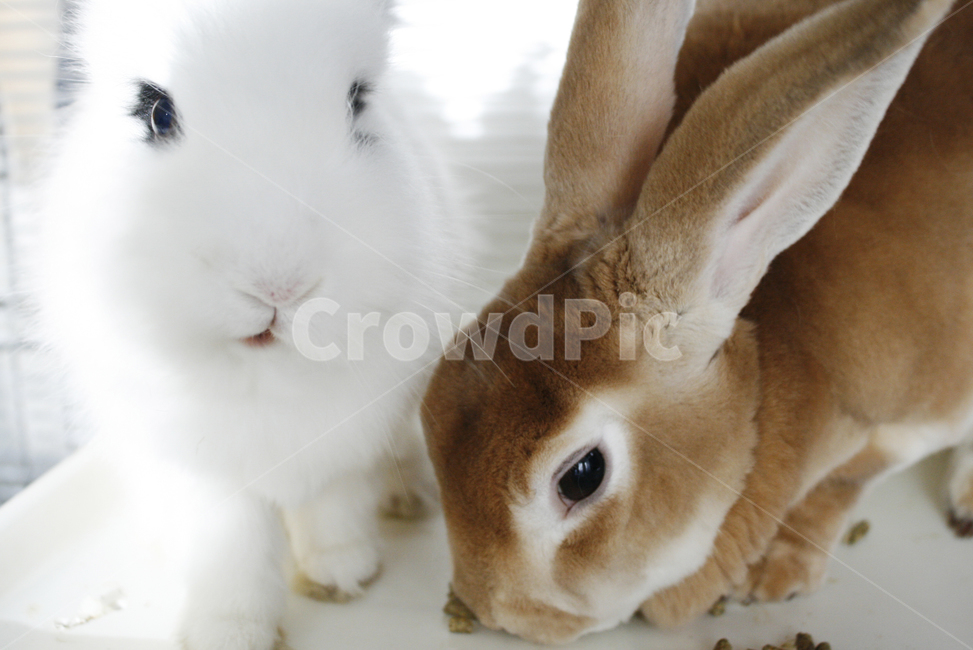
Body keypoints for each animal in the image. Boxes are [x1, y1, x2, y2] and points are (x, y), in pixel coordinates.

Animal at [30, 0, 471, 647]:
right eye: (157, 113)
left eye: (358, 102)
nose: (279, 287)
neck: (264, 373)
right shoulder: (205, 475)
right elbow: (231, 548)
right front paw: (229, 629)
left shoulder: (344, 442)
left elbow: (333, 504)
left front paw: (342, 574)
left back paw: (406, 498)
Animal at [421, 0, 971, 643]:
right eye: (430, 406)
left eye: (582, 476)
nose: (496, 611)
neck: (759, 397)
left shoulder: (912, 416)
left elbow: (845, 481)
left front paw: (774, 574)